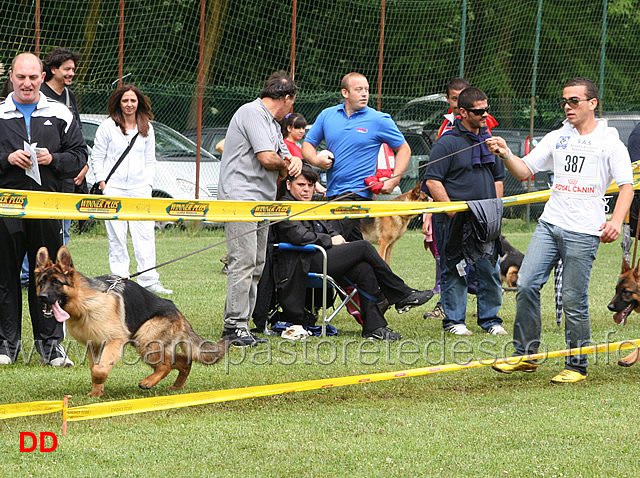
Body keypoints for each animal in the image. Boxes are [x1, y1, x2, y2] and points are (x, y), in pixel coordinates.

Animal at [35, 246, 228, 396]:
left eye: (56, 283)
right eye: (41, 282)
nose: (42, 297)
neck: (85, 301)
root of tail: (177, 312)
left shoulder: (114, 341)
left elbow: (99, 369)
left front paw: (99, 384)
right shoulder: (94, 344)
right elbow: (94, 367)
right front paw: (96, 392)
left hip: (146, 340)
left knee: (166, 365)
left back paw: (148, 382)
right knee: (183, 360)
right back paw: (177, 385)